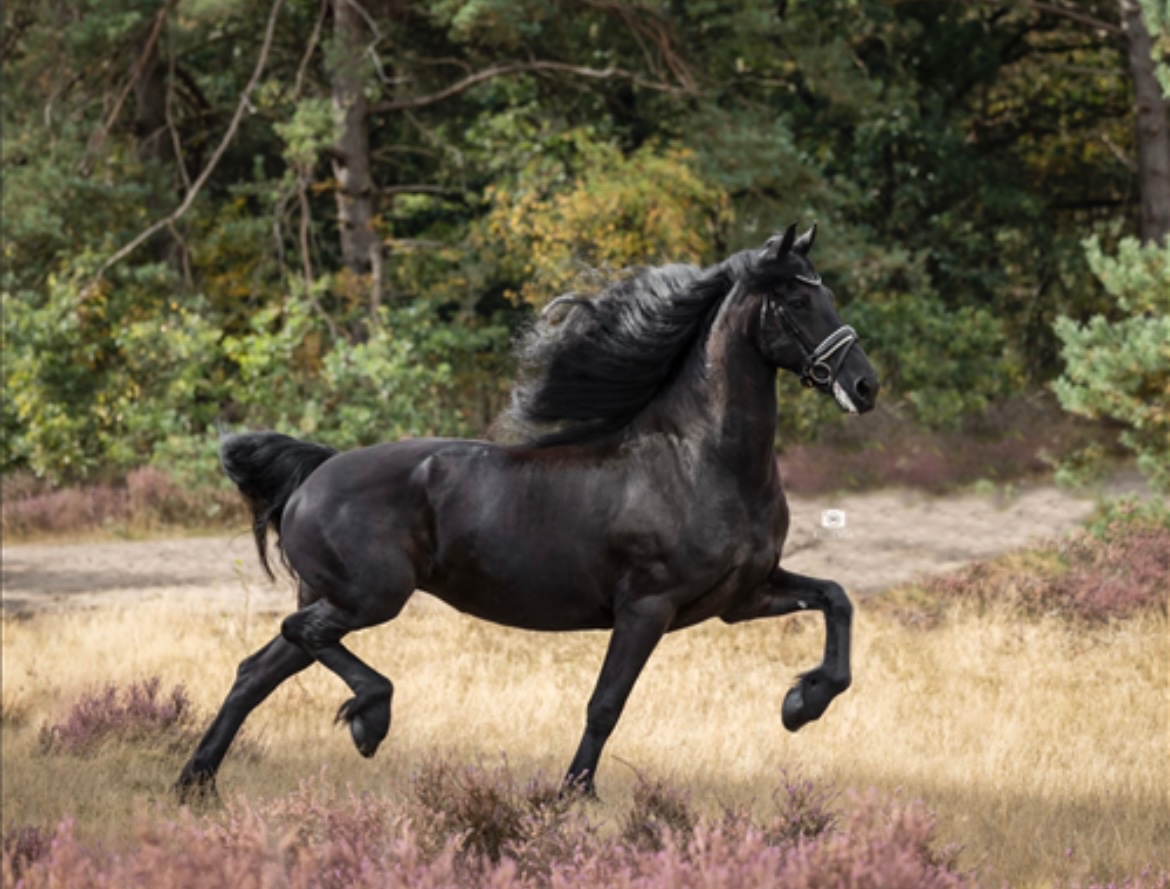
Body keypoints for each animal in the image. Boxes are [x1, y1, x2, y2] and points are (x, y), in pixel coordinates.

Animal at [173, 221, 879, 800]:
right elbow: (606, 703)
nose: (865, 386)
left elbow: (837, 599)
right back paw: (369, 722)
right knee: (300, 640)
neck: (697, 459)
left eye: (827, 296)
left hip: (337, 599)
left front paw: (802, 703)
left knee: (259, 669)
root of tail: (316, 473)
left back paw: (196, 783)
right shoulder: (648, 607)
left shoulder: (741, 597)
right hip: (368, 598)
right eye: (796, 301)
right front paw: (574, 798)